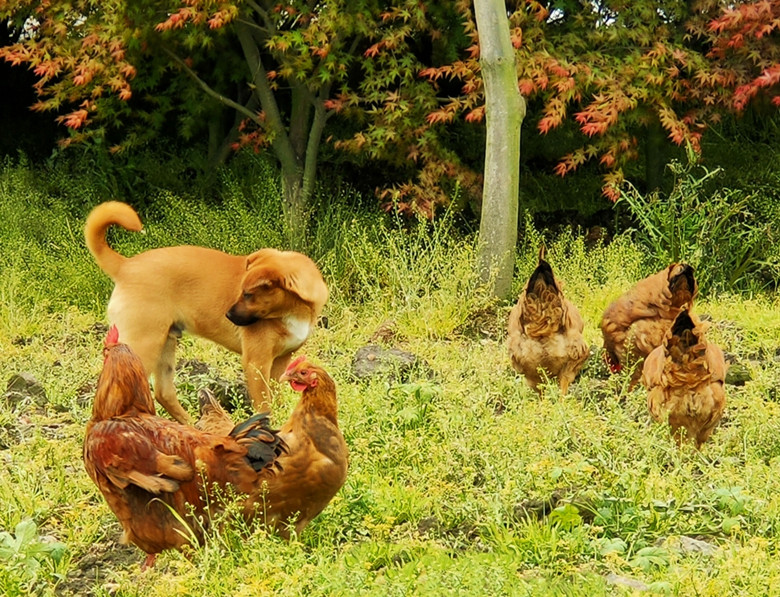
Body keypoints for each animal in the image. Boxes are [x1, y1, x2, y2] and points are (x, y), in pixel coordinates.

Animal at [84, 201, 328, 424]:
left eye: (248, 294)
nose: (228, 316)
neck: (294, 310)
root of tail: (125, 266)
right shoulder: (256, 364)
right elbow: (264, 406)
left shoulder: (280, 362)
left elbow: (276, 401)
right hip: (143, 346)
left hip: (165, 345)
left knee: (164, 393)